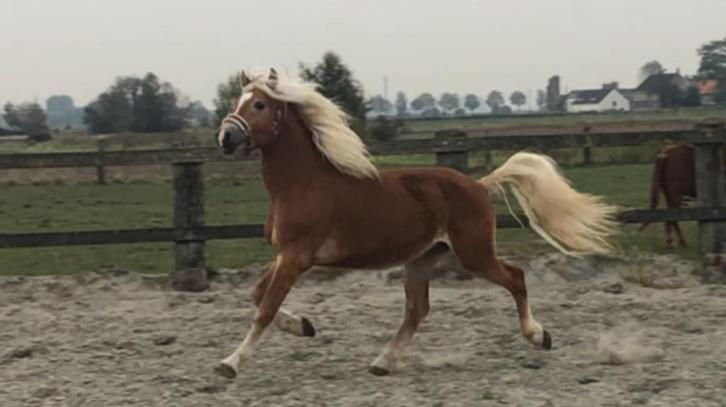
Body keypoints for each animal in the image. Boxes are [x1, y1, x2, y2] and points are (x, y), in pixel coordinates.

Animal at [213, 68, 617, 378]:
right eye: (236, 103)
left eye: (259, 104)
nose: (225, 137)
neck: (303, 183)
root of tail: (478, 185)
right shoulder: (287, 255)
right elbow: (258, 295)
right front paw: (304, 326)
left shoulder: (297, 256)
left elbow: (264, 308)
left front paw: (229, 364)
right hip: (422, 258)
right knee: (417, 310)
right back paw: (382, 362)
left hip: (473, 254)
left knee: (515, 278)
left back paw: (539, 336)